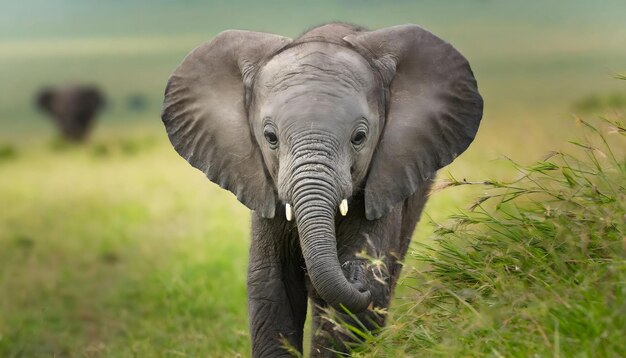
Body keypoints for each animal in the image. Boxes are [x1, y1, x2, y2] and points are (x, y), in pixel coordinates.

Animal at [161, 23, 482, 358]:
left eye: (359, 137)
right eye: (270, 137)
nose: (352, 271)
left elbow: (357, 308)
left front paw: (364, 268)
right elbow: (271, 285)